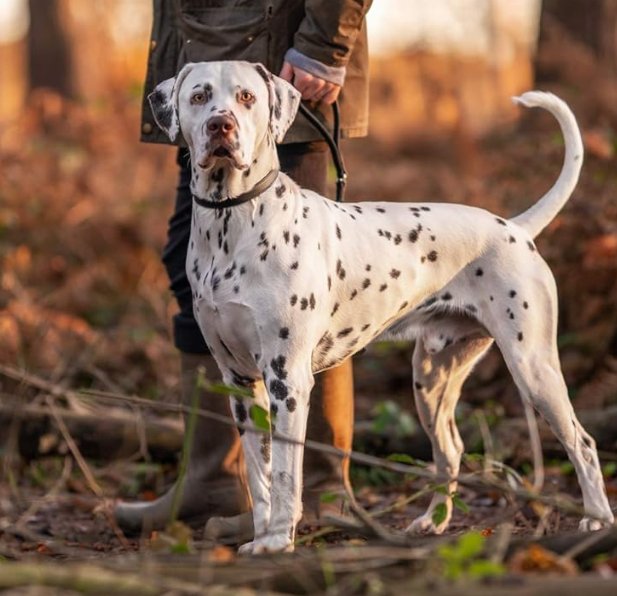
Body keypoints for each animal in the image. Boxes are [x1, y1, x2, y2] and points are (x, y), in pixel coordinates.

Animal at [148, 60, 612, 556]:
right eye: (199, 96)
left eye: (247, 97)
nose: (221, 125)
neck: (231, 222)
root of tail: (515, 228)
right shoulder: (239, 383)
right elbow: (259, 478)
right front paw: (260, 537)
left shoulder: (286, 379)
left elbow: (286, 474)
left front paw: (278, 540)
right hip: (432, 379)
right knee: (451, 449)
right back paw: (432, 523)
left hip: (533, 367)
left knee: (583, 442)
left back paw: (597, 520)